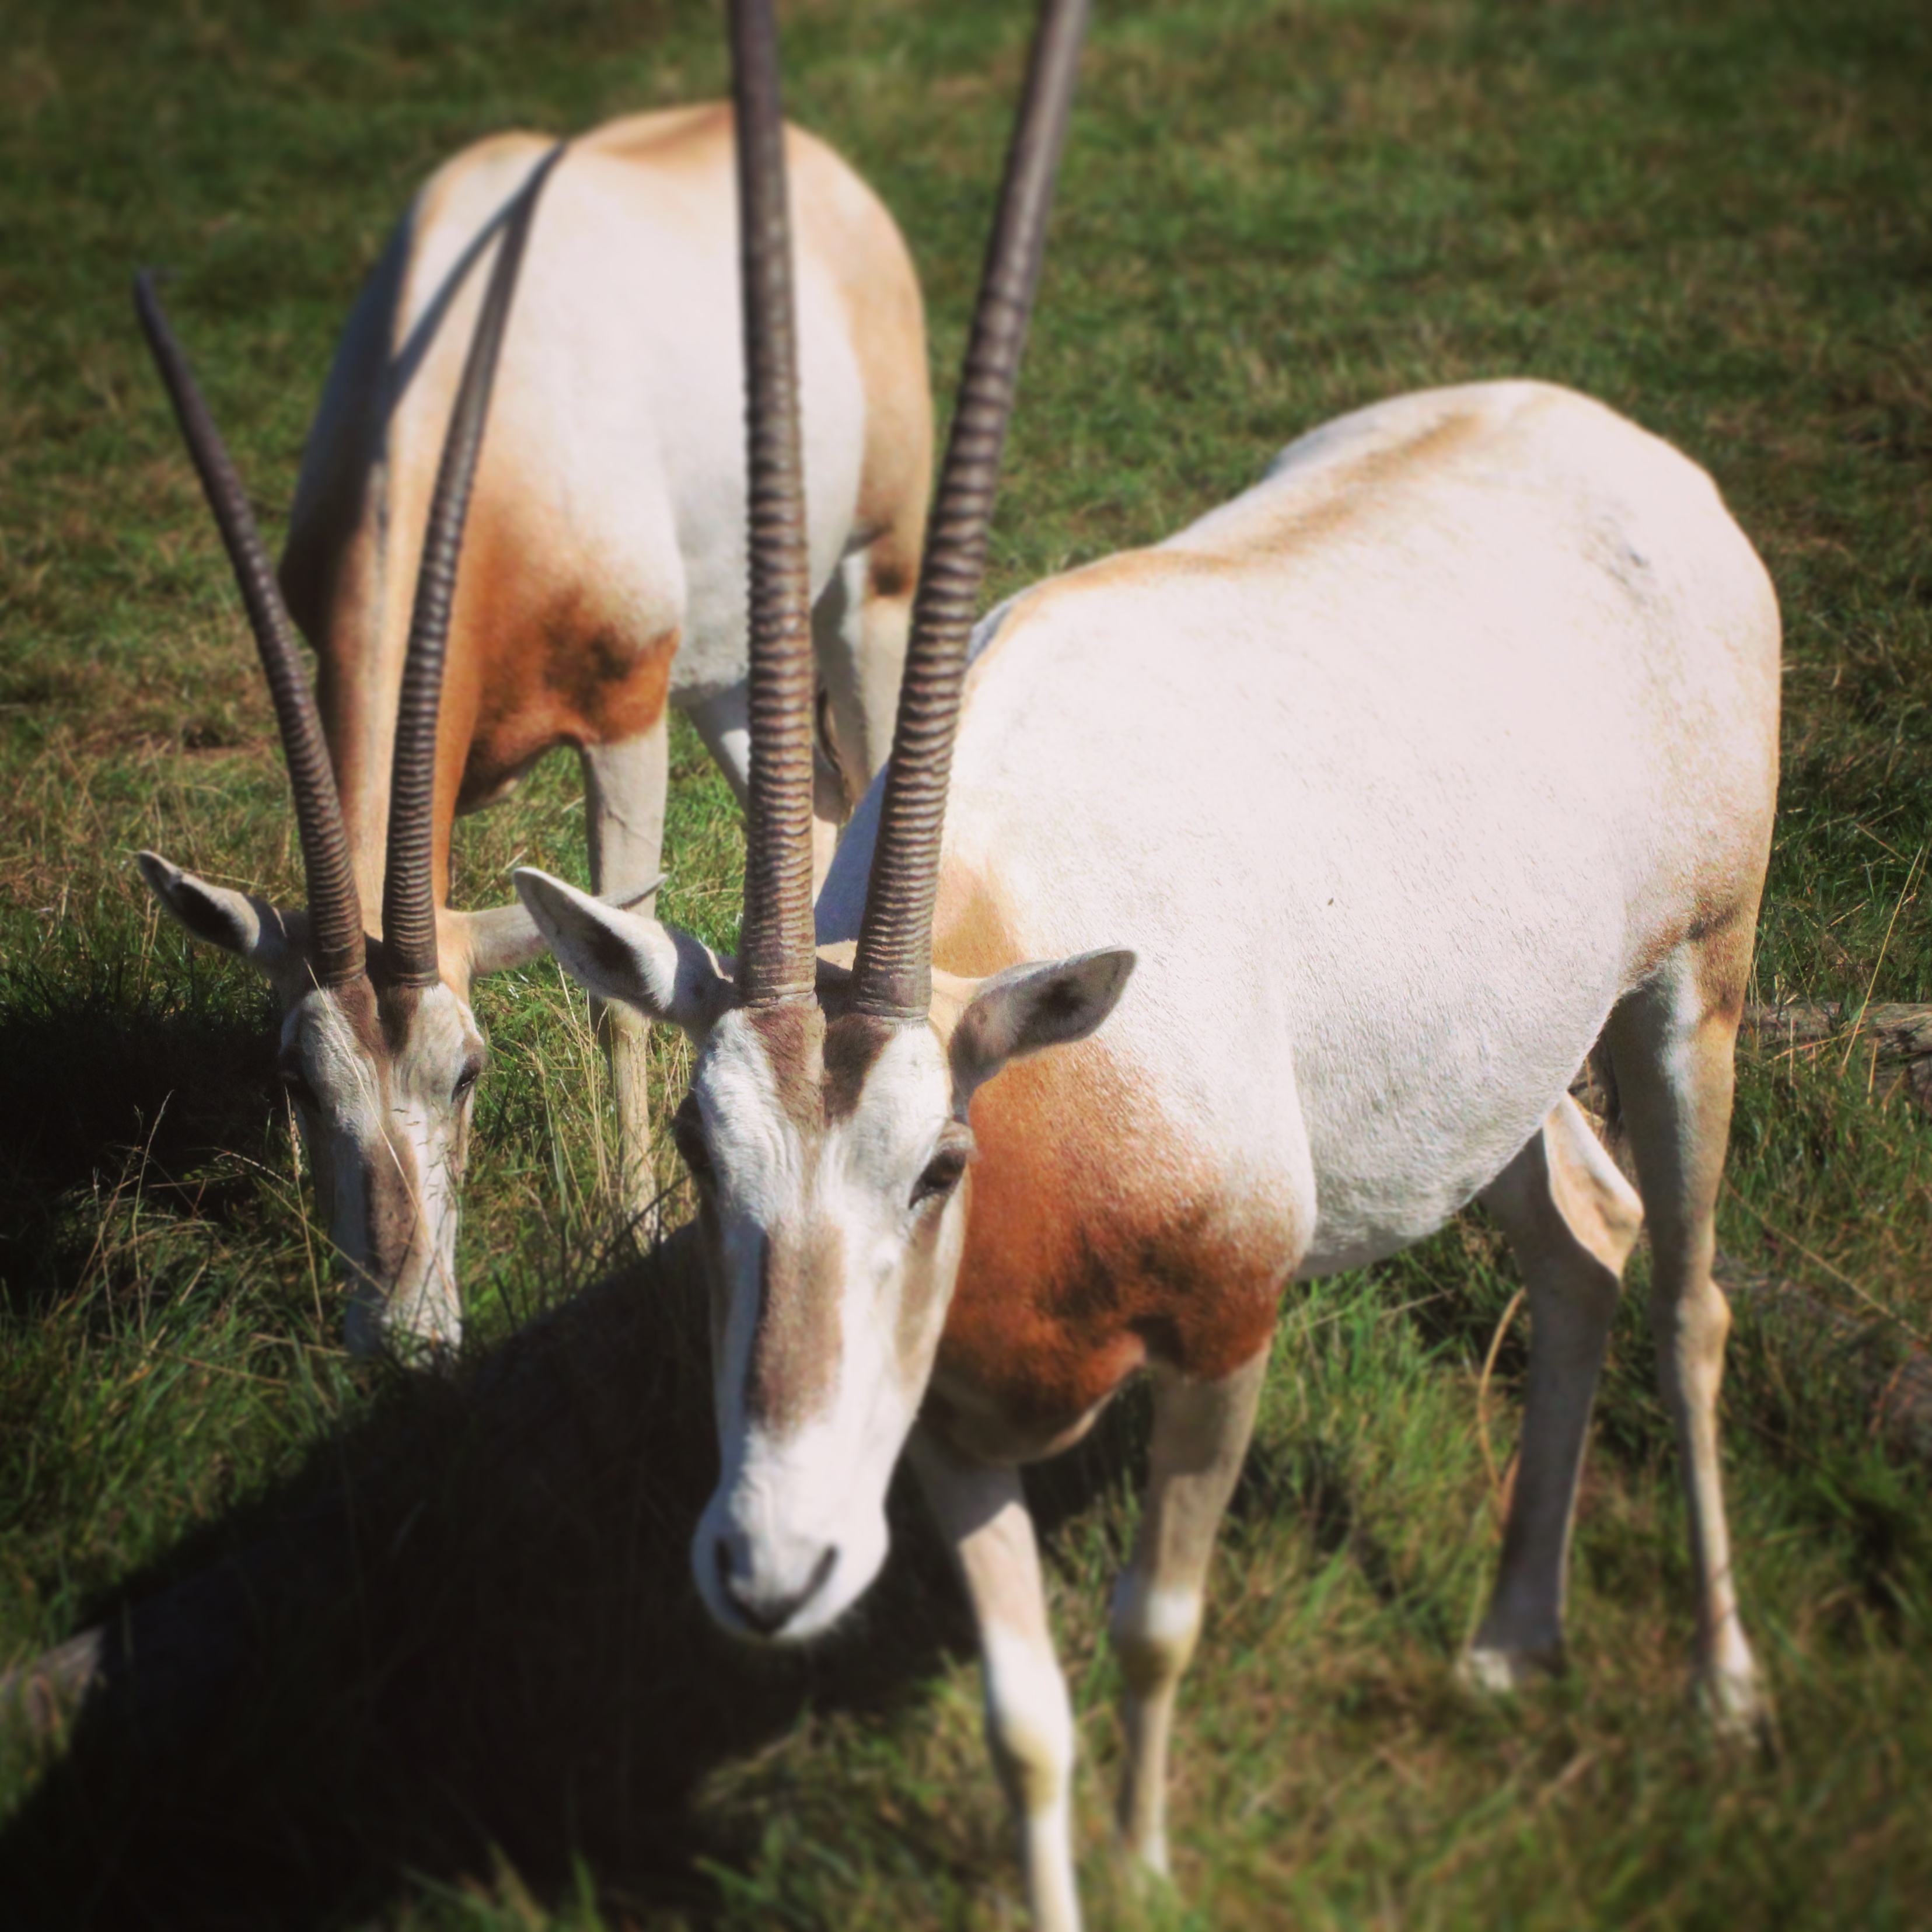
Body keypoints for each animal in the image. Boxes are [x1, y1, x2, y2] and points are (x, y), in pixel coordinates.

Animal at [133, 104, 929, 1355]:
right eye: (301, 1082)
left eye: (467, 1072)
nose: (406, 1338)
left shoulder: (625, 715)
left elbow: (615, 989)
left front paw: (637, 1219)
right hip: (725, 672)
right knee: (812, 806)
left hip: (867, 582)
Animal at [519, 1, 1780, 1923]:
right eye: (692, 1149)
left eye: (936, 1165)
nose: (770, 1565)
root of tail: (1626, 450)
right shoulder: (947, 1424)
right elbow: (1021, 1715)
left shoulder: (1222, 1337)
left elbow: (1153, 1629)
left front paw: (1149, 1858)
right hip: (1480, 1077)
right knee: (1582, 1240)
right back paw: (1507, 1637)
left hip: (1688, 983)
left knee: (1686, 1294)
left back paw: (1720, 1686)